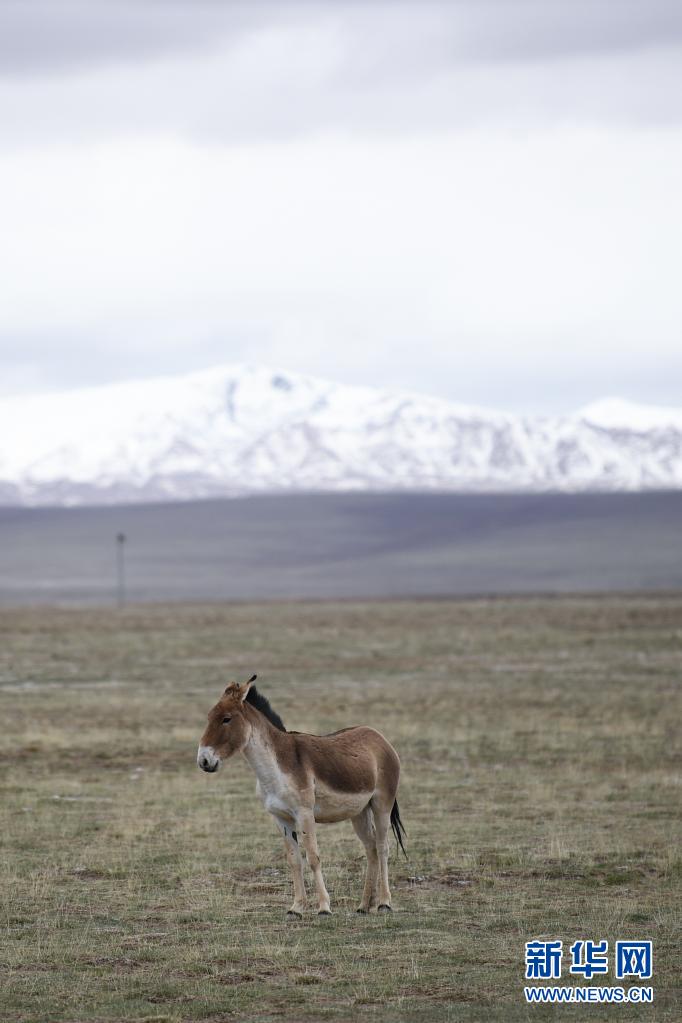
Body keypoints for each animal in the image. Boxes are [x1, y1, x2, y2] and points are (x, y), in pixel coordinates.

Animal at [197, 674, 406, 918]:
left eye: (226, 719)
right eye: (209, 717)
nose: (203, 761)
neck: (276, 768)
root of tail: (378, 736)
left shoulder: (305, 814)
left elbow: (313, 857)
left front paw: (324, 906)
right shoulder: (280, 817)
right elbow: (294, 860)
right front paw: (296, 907)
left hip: (382, 805)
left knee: (383, 847)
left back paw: (384, 903)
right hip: (359, 812)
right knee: (371, 848)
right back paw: (364, 905)